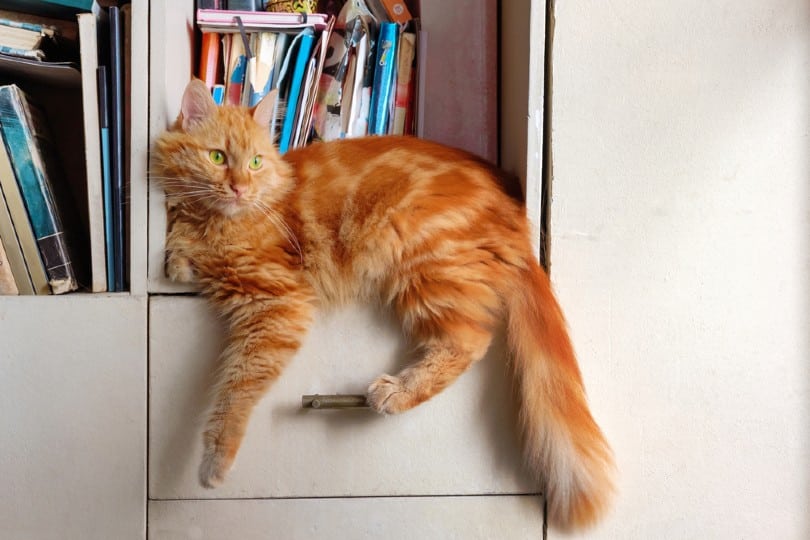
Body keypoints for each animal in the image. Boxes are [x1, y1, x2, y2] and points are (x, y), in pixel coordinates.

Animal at [152, 80, 616, 532]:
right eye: (217, 157)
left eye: (253, 163)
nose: (239, 188)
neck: (221, 222)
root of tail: (516, 215)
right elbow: (180, 252)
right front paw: (178, 260)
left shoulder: (277, 304)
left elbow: (237, 390)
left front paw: (215, 460)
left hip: (423, 266)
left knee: (470, 341)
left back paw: (395, 392)